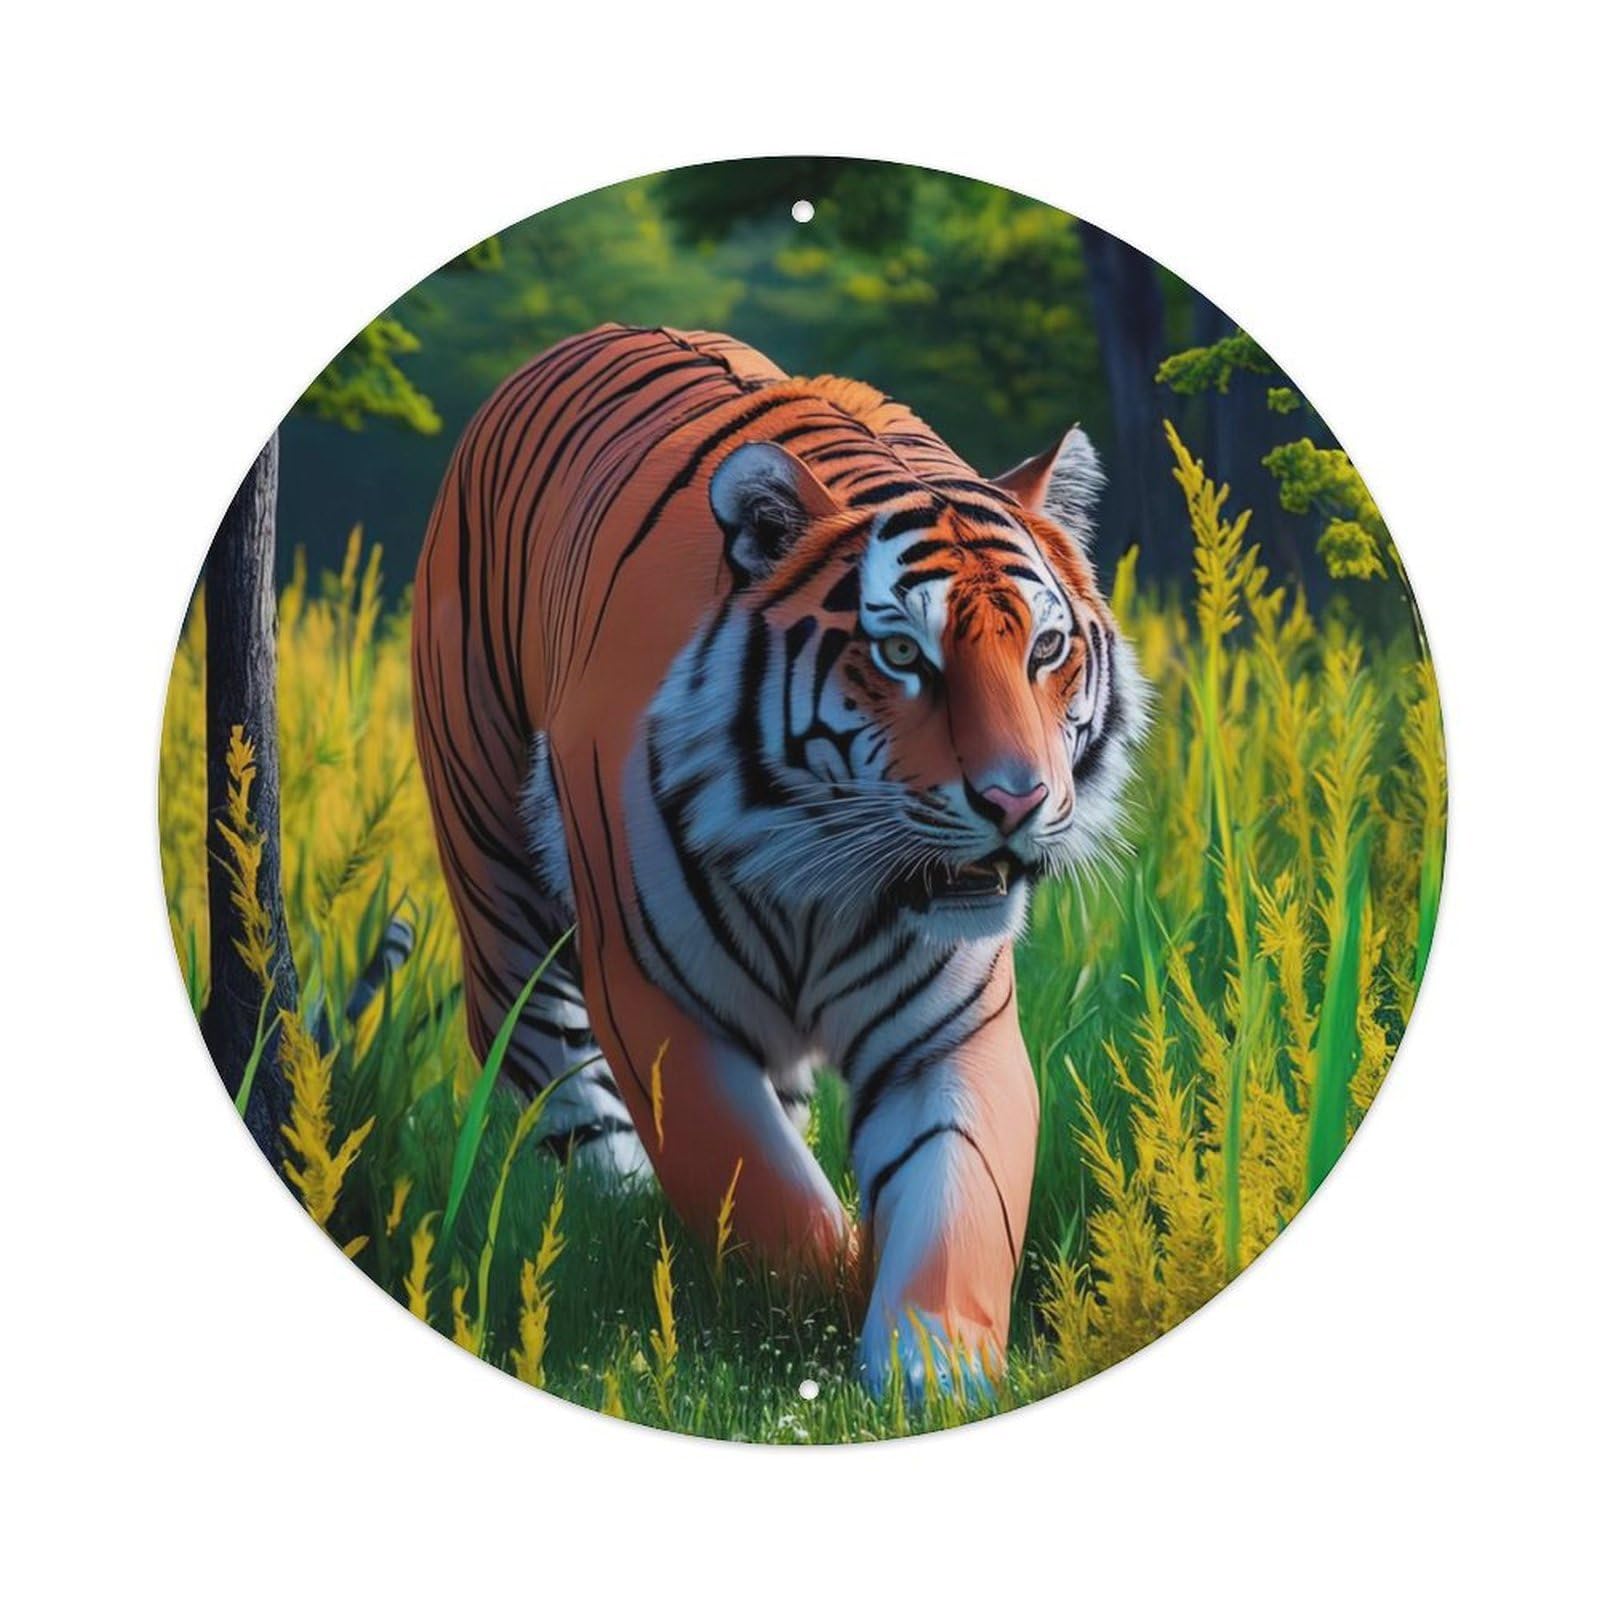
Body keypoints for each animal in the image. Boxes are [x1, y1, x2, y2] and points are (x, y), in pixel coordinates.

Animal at [412, 323, 1143, 1395]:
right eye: (902, 657)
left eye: (1046, 650)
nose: (1016, 802)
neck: (822, 876)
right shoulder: (657, 1007)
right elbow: (757, 1187)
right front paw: (828, 1290)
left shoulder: (951, 1028)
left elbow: (959, 1197)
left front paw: (934, 1368)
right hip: (501, 886)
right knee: (563, 1087)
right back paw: (609, 1225)